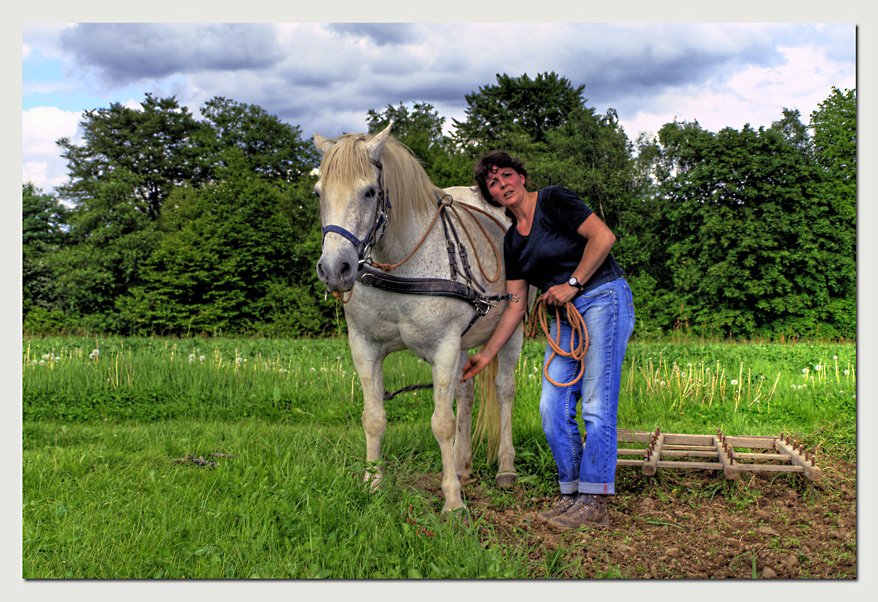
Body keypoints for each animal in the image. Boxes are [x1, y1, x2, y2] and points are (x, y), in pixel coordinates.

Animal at [312, 123, 524, 510]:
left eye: (369, 192)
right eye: (319, 192)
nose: (335, 269)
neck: (400, 264)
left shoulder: (443, 348)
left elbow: (442, 423)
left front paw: (453, 501)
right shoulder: (364, 347)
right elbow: (374, 418)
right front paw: (373, 484)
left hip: (511, 332)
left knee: (504, 391)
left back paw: (505, 467)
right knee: (466, 393)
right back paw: (463, 464)